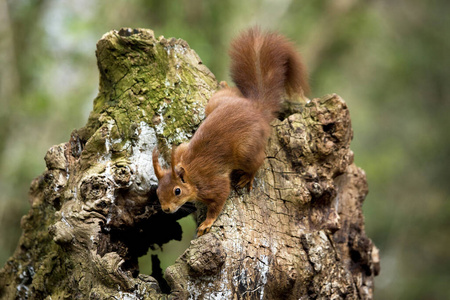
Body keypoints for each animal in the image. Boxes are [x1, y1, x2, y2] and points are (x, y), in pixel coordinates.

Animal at [152, 27, 310, 236]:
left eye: (177, 191)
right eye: (157, 191)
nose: (166, 209)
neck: (191, 175)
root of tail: (256, 109)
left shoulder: (213, 184)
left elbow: (219, 200)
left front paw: (207, 223)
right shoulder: (182, 149)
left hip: (245, 151)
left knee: (258, 160)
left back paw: (248, 177)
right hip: (215, 105)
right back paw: (226, 86)